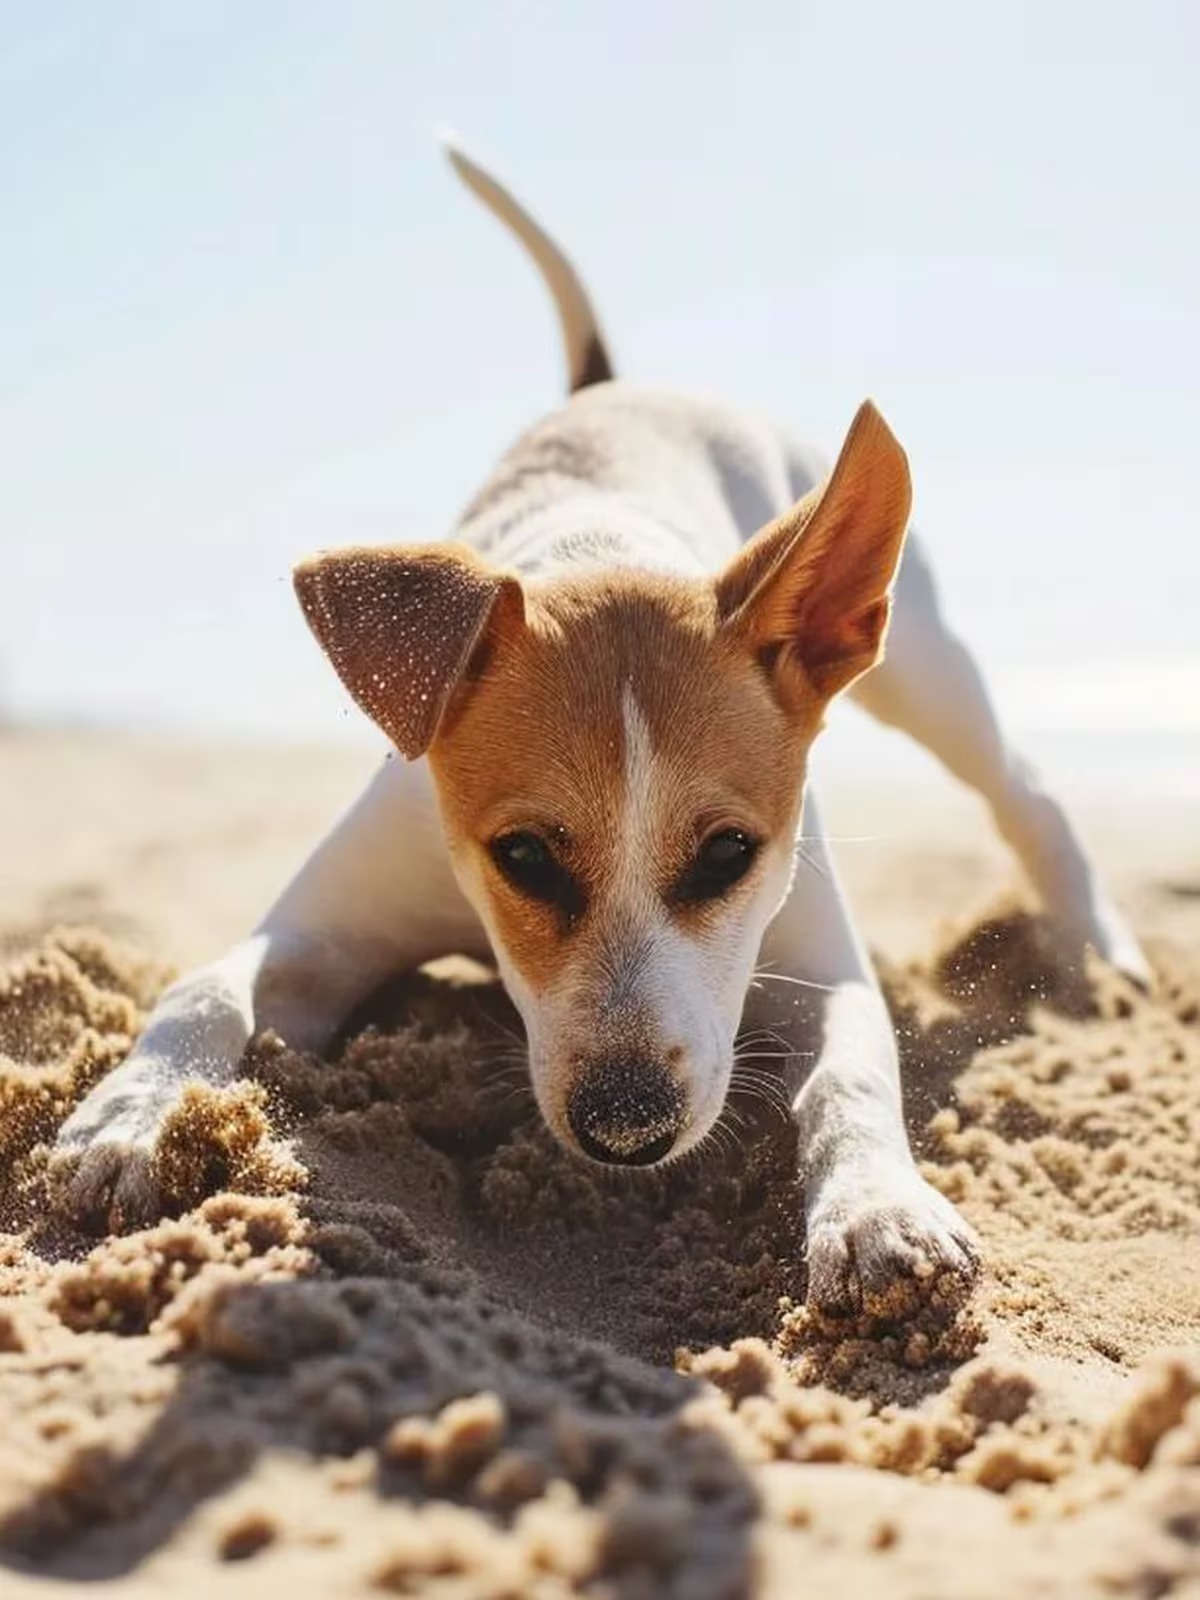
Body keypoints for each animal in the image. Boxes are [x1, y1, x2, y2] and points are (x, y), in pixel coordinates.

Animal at [51, 137, 1152, 1312]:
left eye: (728, 853)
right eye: (523, 856)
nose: (629, 1130)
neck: (601, 538)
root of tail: (622, 389)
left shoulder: (824, 970)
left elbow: (855, 1071)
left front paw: (876, 1211)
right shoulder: (318, 928)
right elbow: (203, 988)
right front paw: (134, 1114)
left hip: (932, 675)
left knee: (1026, 791)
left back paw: (1105, 954)